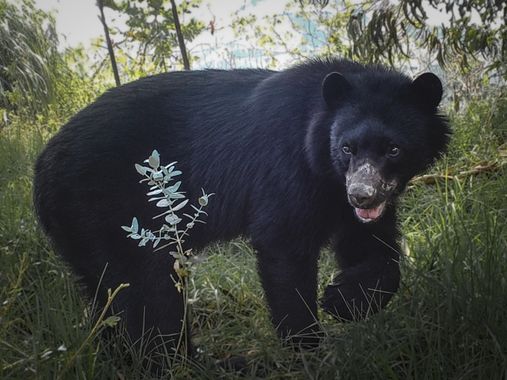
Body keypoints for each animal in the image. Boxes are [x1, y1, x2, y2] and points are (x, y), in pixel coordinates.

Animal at [33, 60, 450, 354]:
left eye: (393, 149)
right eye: (347, 147)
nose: (362, 195)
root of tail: (40, 168)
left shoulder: (342, 196)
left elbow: (374, 249)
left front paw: (344, 298)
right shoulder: (287, 169)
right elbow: (283, 245)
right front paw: (308, 345)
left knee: (113, 302)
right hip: (104, 212)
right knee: (147, 297)